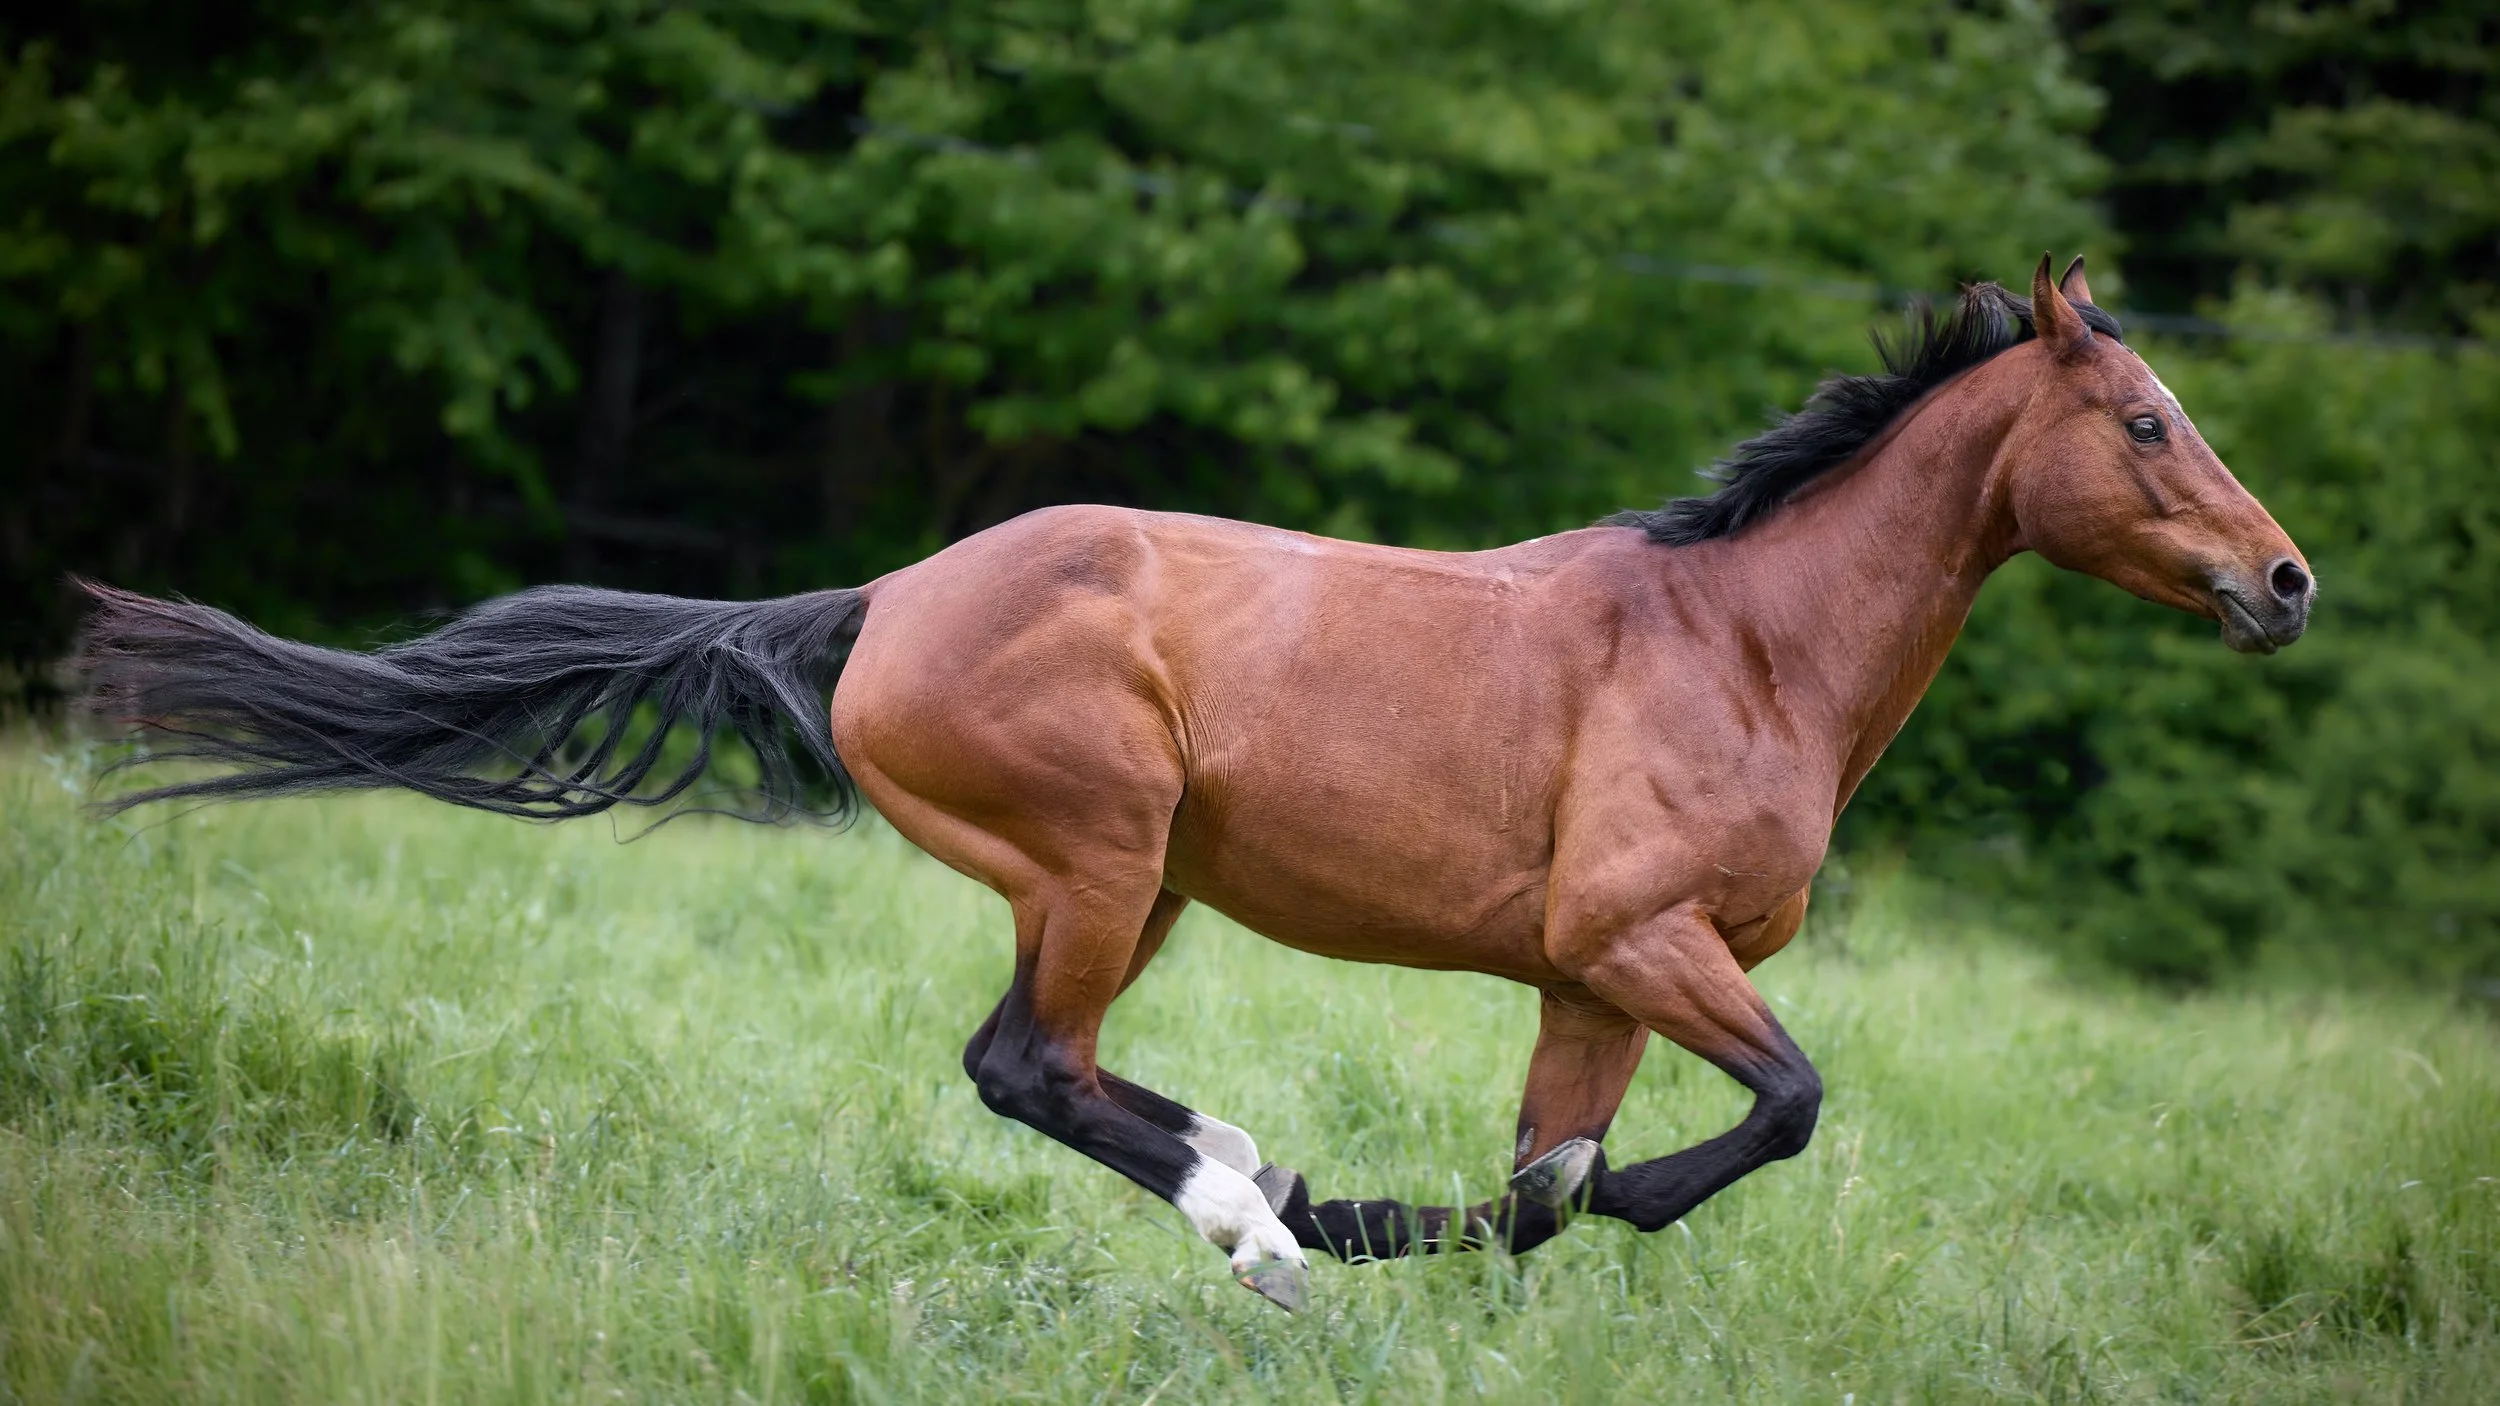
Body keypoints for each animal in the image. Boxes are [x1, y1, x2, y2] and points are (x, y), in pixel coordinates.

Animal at [75, 257, 2312, 1311]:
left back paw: (1264, 1180)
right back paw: (1255, 1220)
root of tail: (881, 600)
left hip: (1132, 883)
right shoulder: (1635, 936)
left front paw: (1412, 1221)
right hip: (1100, 854)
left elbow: (1545, 1188)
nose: (2282, 581)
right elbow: (1768, 1112)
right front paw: (1381, 1218)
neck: (1741, 642)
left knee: (1049, 1065)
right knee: (1023, 1068)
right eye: (2142, 421)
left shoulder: (1583, 980)